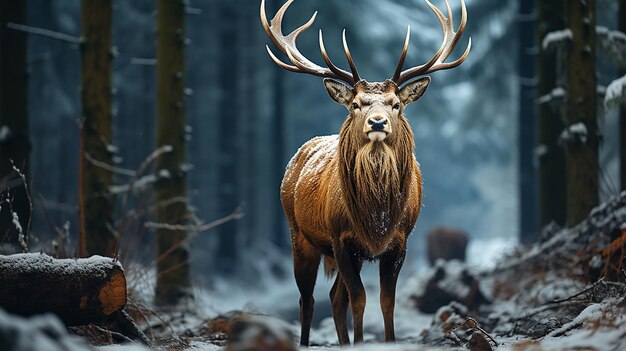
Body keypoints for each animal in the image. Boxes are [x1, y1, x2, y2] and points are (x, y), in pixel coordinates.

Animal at [258, 0, 468, 346]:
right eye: (356, 103)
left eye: (396, 103)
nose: (378, 121)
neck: (377, 216)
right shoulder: (341, 238)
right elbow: (359, 299)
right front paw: (360, 341)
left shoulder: (399, 241)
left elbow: (386, 300)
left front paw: (389, 340)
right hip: (298, 234)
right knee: (308, 299)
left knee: (333, 297)